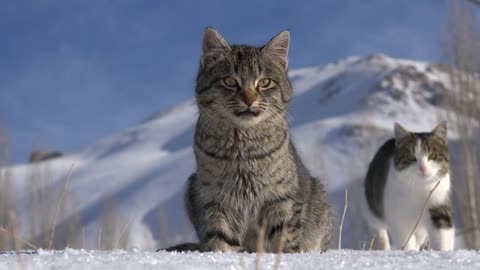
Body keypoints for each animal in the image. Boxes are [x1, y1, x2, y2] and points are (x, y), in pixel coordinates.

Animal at [167, 28, 336, 253]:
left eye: (264, 82)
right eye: (230, 81)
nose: (249, 99)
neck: (243, 147)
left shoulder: (281, 199)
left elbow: (285, 239)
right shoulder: (215, 200)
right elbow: (221, 239)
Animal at [364, 122, 454, 251]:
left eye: (432, 156)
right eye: (411, 157)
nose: (423, 169)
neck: (420, 187)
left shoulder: (438, 203)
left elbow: (442, 232)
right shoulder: (398, 217)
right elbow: (405, 240)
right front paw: (408, 252)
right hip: (372, 205)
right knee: (377, 229)